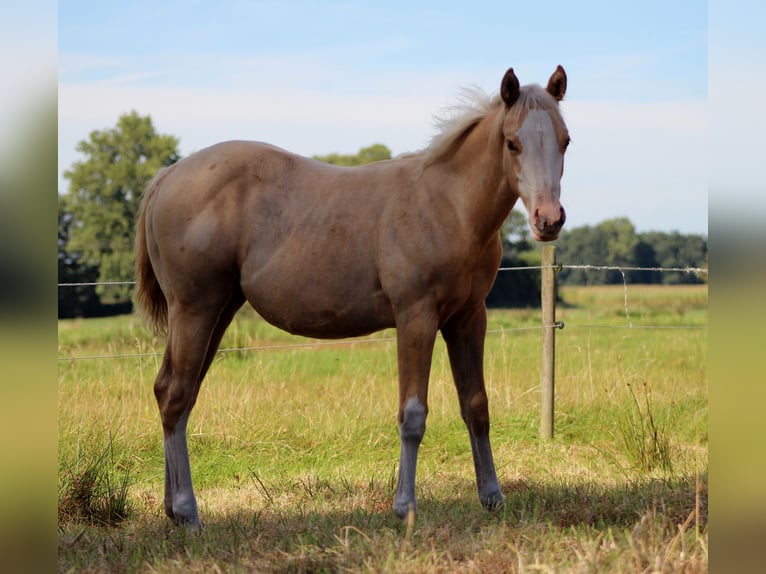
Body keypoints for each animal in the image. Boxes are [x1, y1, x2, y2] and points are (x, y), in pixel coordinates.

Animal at [135, 66, 569, 528]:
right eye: (512, 143)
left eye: (565, 140)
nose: (548, 220)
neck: (447, 205)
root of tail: (167, 177)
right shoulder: (416, 317)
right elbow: (412, 414)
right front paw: (406, 506)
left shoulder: (468, 318)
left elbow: (477, 405)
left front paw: (492, 497)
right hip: (194, 309)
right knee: (176, 394)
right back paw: (188, 513)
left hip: (218, 310)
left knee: (175, 392)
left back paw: (172, 510)